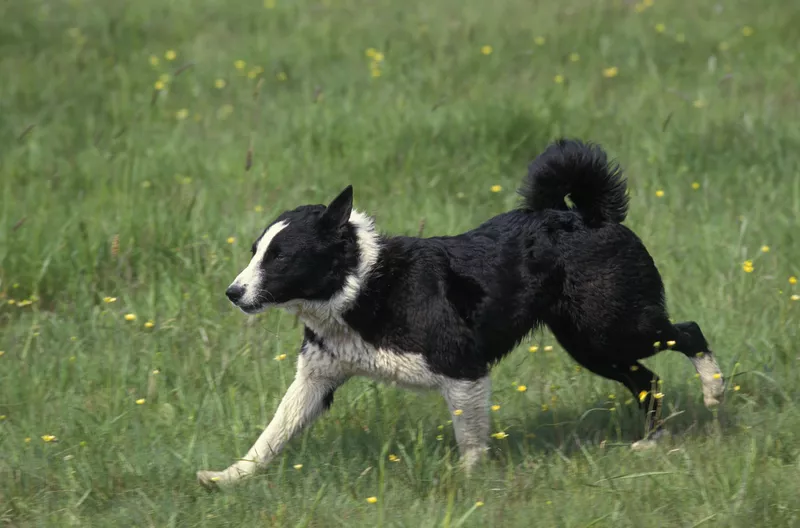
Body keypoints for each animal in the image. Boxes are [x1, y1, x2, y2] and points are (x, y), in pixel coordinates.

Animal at [195, 138, 724, 488]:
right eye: (255, 251)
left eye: (280, 257)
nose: (232, 292)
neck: (363, 285)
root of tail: (590, 215)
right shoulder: (316, 379)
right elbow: (271, 435)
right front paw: (227, 478)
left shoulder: (464, 369)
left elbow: (470, 440)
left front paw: (466, 482)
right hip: (590, 344)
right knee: (647, 378)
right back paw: (651, 442)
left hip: (612, 327)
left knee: (688, 332)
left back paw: (714, 390)